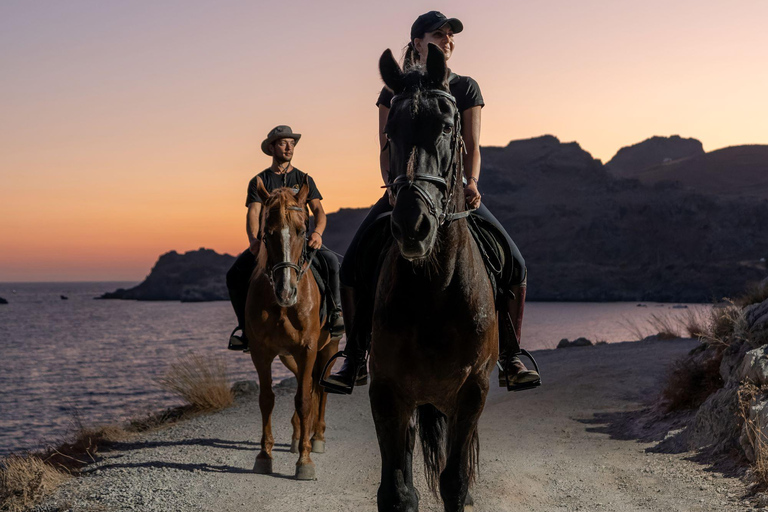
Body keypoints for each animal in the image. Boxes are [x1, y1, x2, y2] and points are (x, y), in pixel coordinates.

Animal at [244, 180, 338, 480]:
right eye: (267, 234)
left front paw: (305, 462)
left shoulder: (308, 349)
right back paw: (299, 437)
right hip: (289, 357)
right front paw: (264, 456)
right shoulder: (262, 353)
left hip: (328, 349)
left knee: (320, 391)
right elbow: (267, 399)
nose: (286, 292)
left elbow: (305, 400)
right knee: (305, 385)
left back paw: (316, 438)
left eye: (302, 230)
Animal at [370, 45, 500, 512]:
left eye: (446, 126)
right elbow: (396, 492)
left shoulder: (472, 392)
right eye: (390, 130)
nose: (413, 226)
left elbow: (454, 482)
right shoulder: (387, 392)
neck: (435, 289)